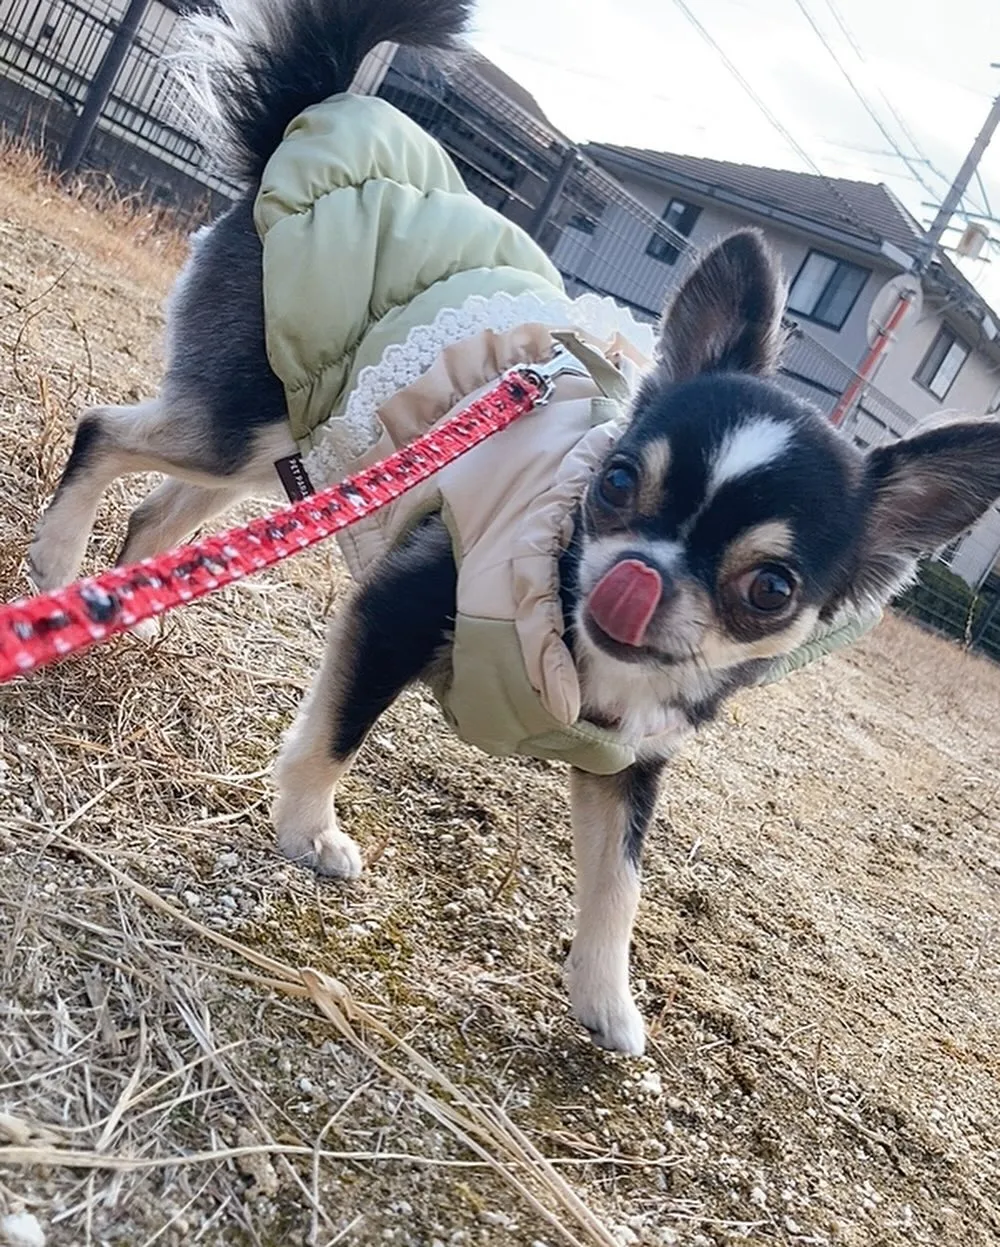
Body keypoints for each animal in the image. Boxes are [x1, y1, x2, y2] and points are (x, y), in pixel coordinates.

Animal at [27, 0, 997, 1057]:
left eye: (770, 589)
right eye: (615, 481)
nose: (636, 576)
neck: (579, 638)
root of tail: (308, 130)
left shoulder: (628, 761)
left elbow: (618, 882)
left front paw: (607, 1002)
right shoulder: (401, 605)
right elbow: (336, 732)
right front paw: (306, 832)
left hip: (291, 448)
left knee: (159, 506)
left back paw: (123, 608)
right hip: (244, 420)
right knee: (102, 432)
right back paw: (58, 564)